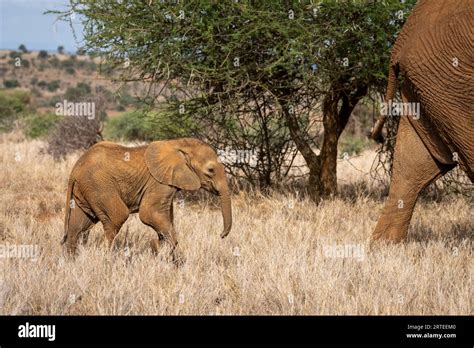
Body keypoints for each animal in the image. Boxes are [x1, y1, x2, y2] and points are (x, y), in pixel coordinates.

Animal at [62, 137, 232, 260]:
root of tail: (75, 169)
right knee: (116, 217)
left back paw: (72, 261)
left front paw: (161, 249)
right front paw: (157, 247)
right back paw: (108, 259)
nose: (221, 235)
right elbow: (148, 213)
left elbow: (166, 217)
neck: (178, 144)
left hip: (85, 190)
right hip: (99, 185)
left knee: (78, 226)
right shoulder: (158, 182)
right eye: (210, 170)